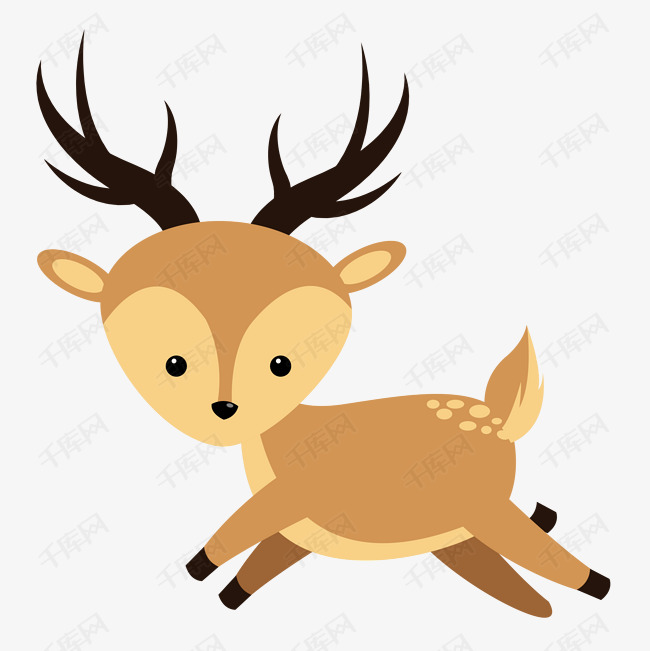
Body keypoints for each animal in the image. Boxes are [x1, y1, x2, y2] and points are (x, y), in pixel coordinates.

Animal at [36, 36, 609, 618]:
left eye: (281, 363)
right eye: (173, 362)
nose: (224, 410)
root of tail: (500, 416)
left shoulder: (291, 500)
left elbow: (239, 530)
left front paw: (201, 563)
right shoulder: (293, 536)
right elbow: (239, 582)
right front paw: (210, 579)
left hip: (485, 518)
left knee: (565, 570)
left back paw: (596, 584)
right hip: (464, 536)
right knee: (526, 573)